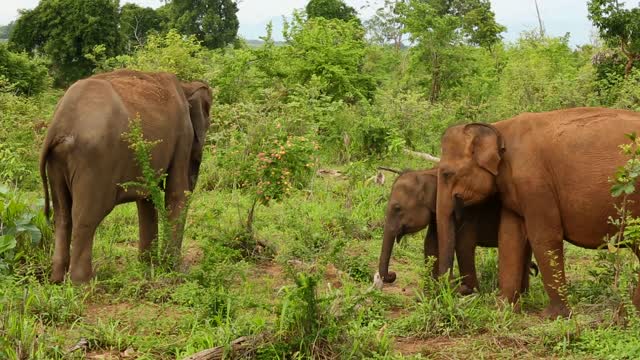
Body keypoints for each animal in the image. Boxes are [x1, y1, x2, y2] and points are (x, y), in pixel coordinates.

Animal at [40, 69, 212, 284]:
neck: (185, 85)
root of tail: (59, 126)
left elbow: (147, 197)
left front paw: (148, 267)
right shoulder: (183, 134)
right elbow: (176, 193)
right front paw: (173, 270)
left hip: (56, 162)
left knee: (62, 215)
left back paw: (57, 279)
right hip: (95, 162)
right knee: (86, 216)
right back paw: (84, 284)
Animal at [376, 167, 536, 294]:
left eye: (397, 208)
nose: (392, 275)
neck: (427, 172)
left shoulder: (469, 211)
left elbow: (463, 244)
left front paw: (473, 293)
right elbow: (431, 243)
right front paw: (431, 291)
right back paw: (525, 293)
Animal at [436, 107, 640, 318]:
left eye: (447, 173)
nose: (460, 291)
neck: (499, 128)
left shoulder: (535, 183)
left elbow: (544, 236)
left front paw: (552, 316)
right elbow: (509, 237)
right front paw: (502, 309)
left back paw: (624, 317)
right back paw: (625, 317)